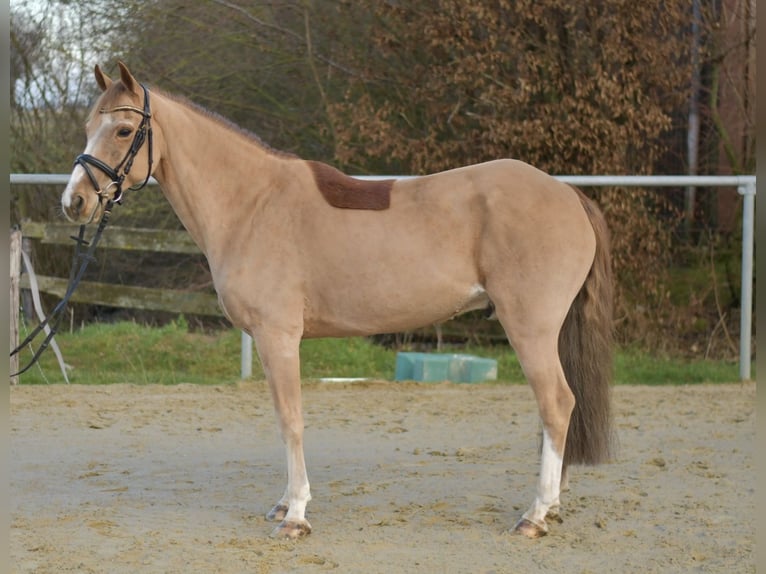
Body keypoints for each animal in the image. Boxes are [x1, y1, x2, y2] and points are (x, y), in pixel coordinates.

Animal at [61, 62, 614, 540]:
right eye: (88, 125)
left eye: (124, 131)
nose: (75, 202)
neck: (253, 204)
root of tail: (568, 193)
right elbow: (283, 419)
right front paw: (284, 504)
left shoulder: (279, 337)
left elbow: (291, 420)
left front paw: (296, 516)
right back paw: (551, 506)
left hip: (529, 327)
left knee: (556, 403)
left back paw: (535, 515)